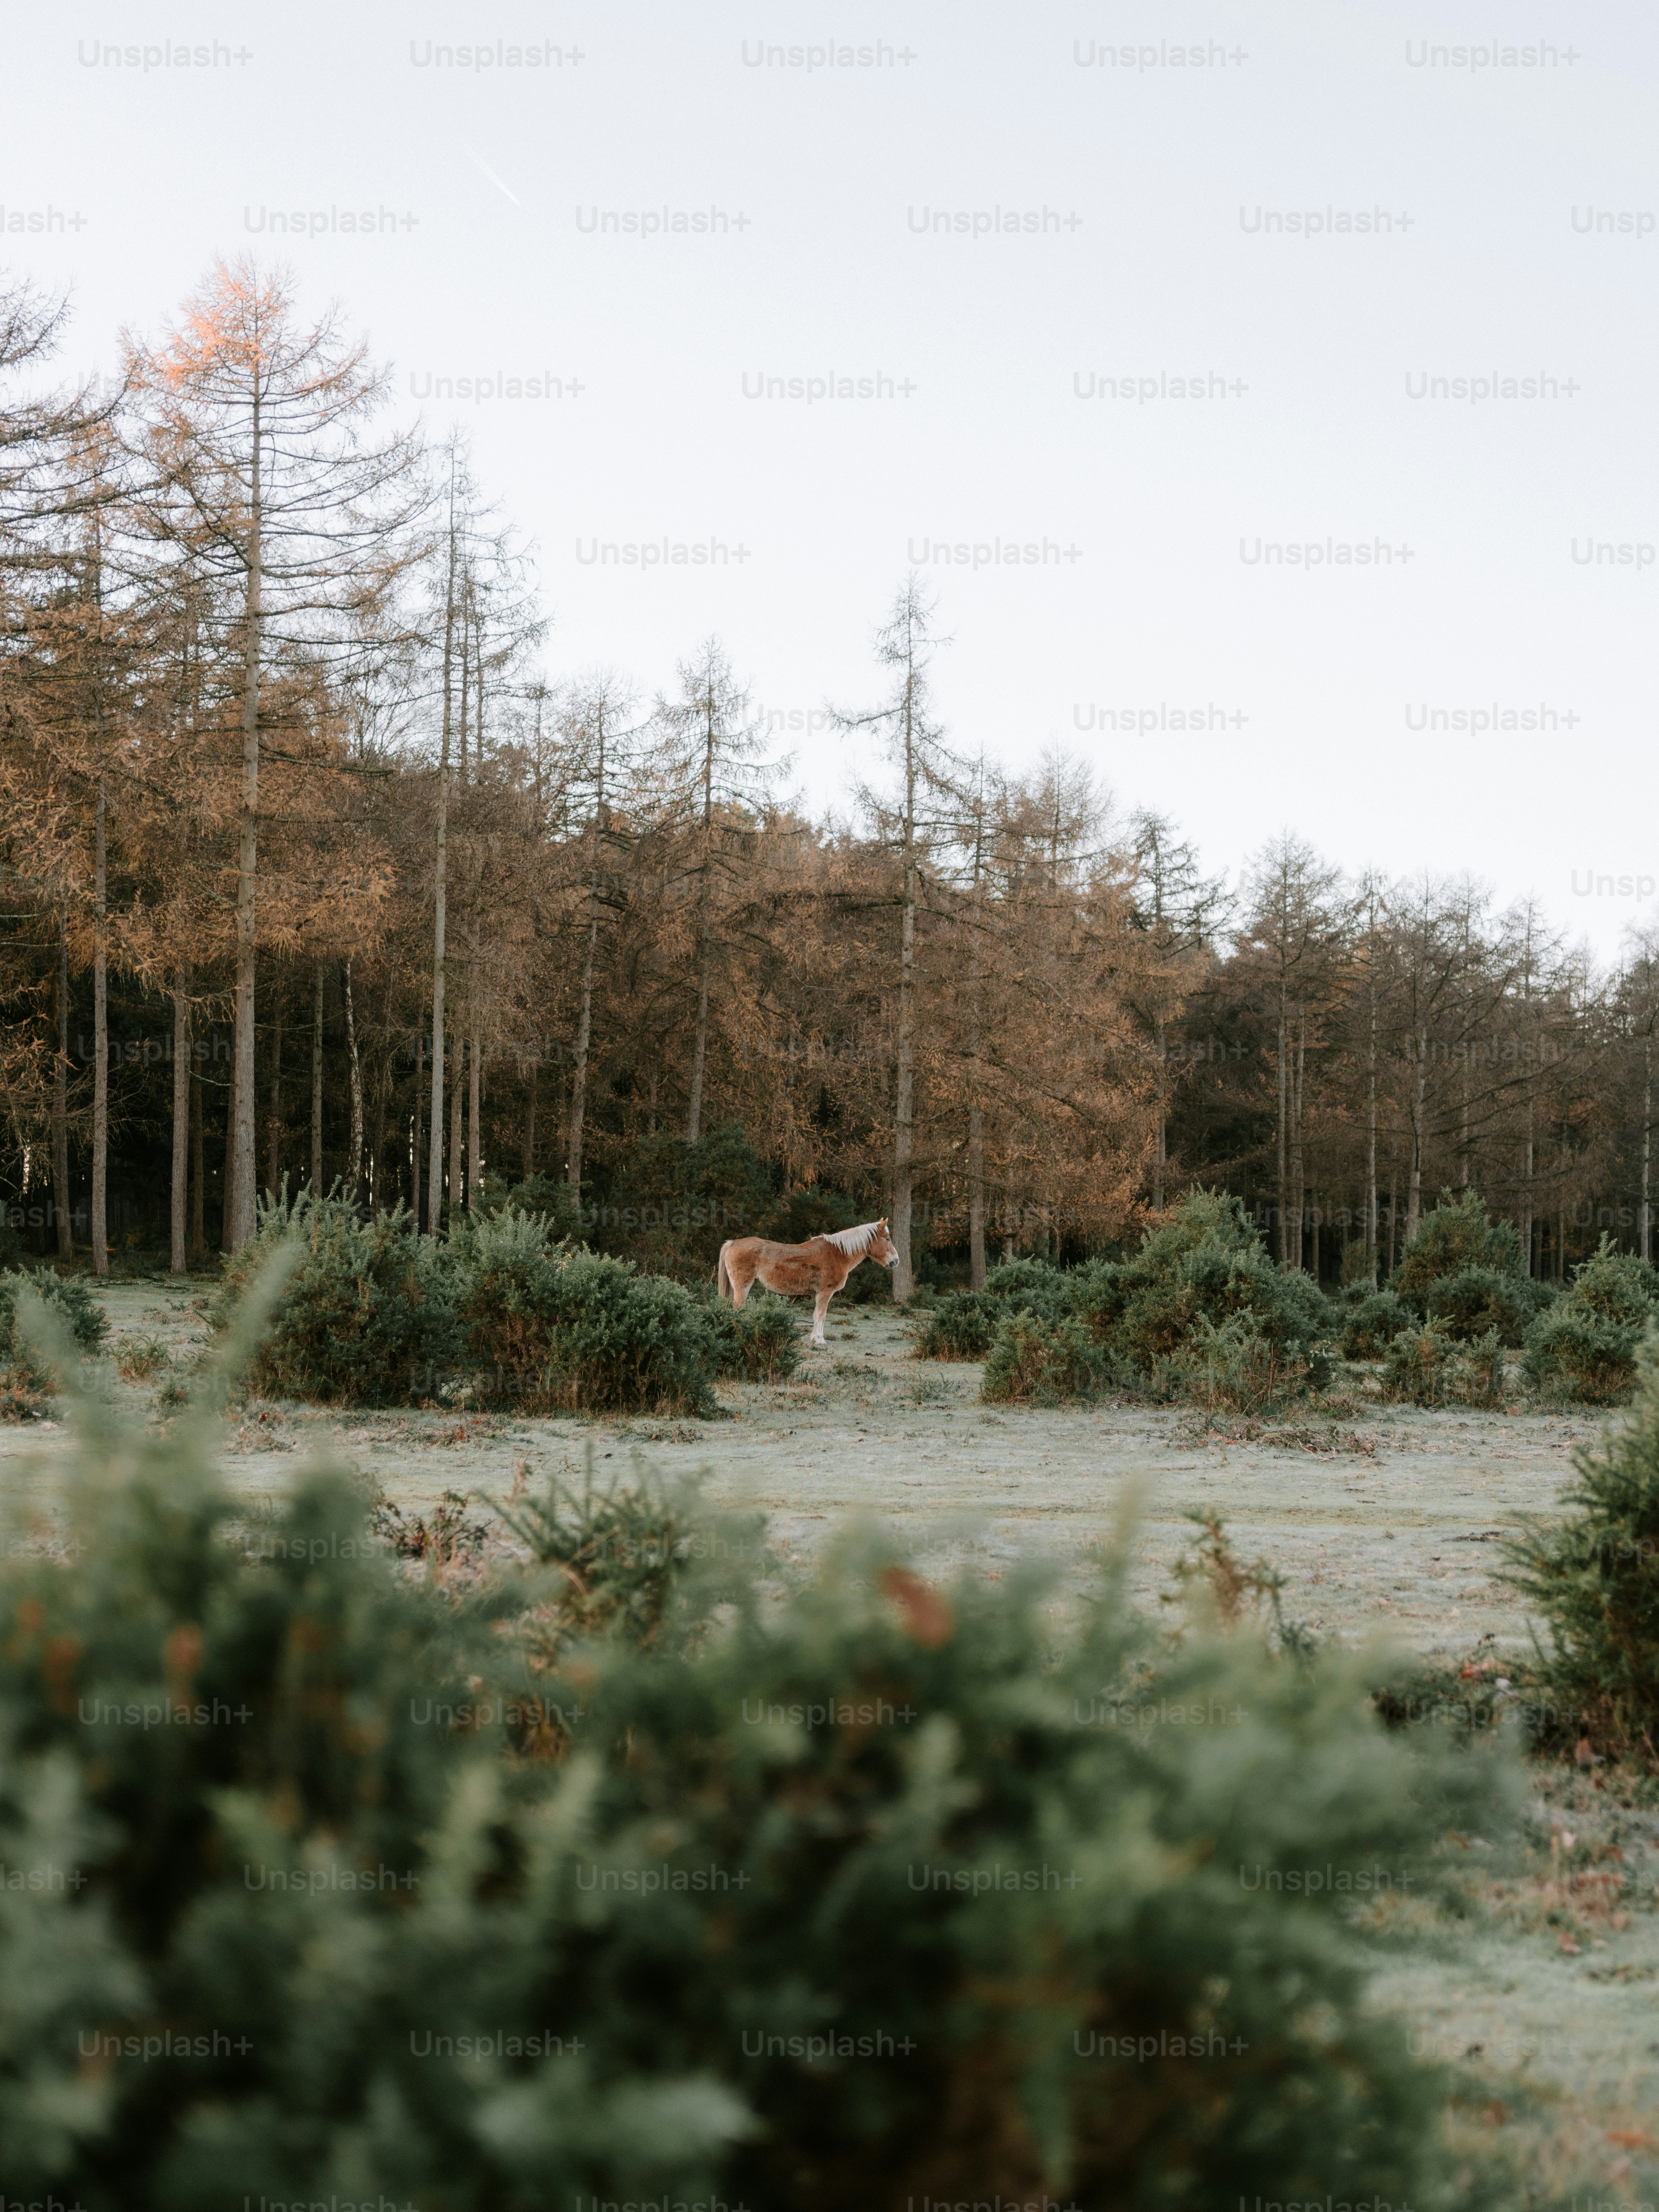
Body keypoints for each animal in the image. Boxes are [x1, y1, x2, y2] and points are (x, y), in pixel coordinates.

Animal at [716, 1219, 899, 1347]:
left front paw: (816, 1338)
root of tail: (734, 1242)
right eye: (888, 1239)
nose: (896, 1261)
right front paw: (819, 1340)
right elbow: (821, 1315)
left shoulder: (819, 1294)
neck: (838, 1253)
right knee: (737, 1309)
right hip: (743, 1287)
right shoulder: (825, 1292)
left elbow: (818, 1315)